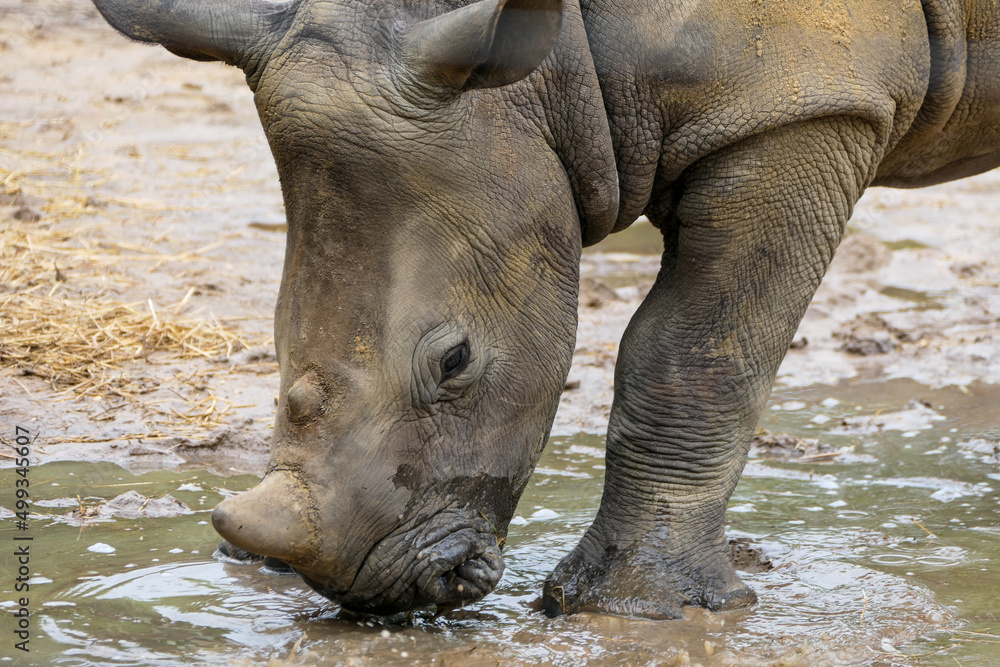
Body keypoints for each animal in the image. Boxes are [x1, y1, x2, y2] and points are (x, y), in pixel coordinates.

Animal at [91, 0, 1000, 618]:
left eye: (455, 361)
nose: (366, 592)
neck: (556, 67)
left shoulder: (806, 106)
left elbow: (689, 353)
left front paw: (629, 606)